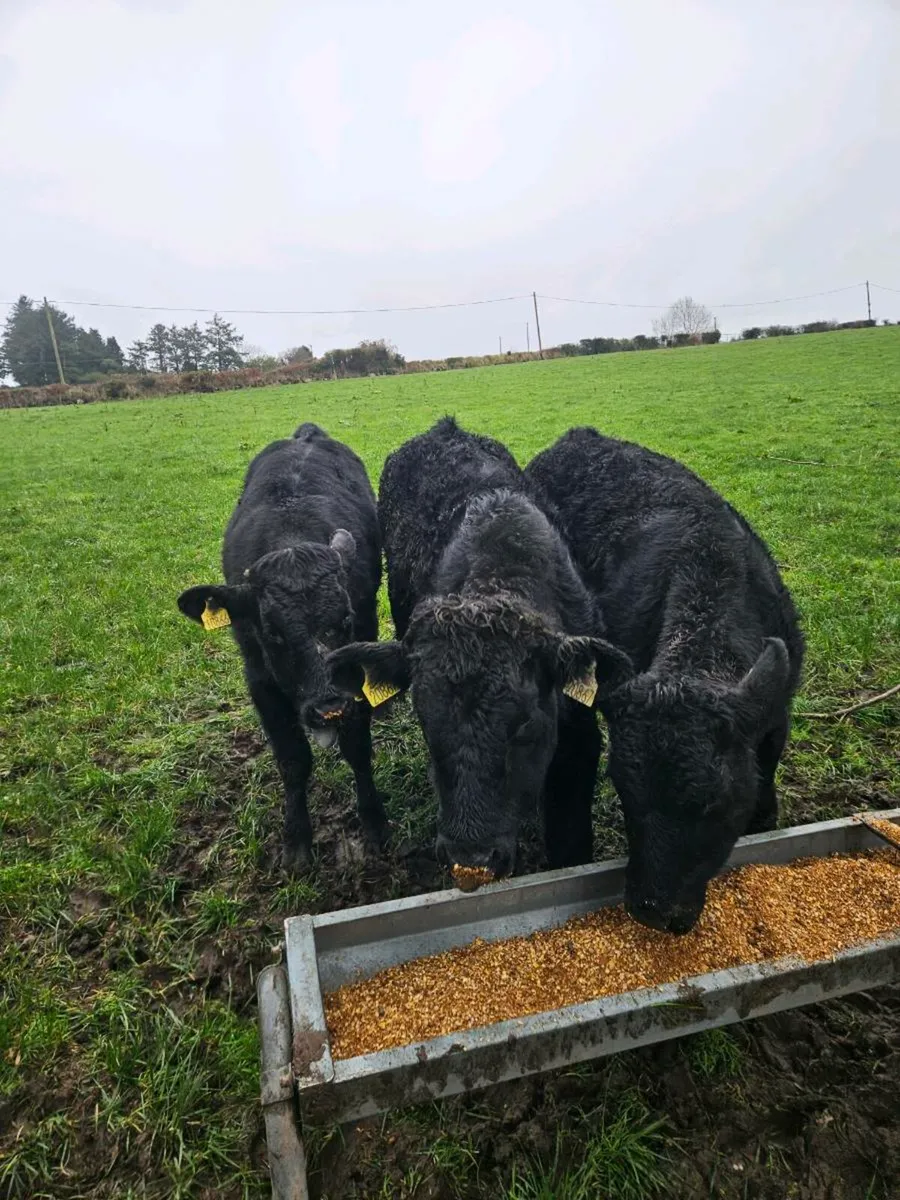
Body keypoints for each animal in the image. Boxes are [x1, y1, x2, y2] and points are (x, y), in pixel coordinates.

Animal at [177, 422, 387, 873]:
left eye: (345, 620)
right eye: (273, 633)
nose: (329, 708)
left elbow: (358, 747)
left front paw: (375, 824)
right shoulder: (260, 681)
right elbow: (293, 760)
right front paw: (296, 842)